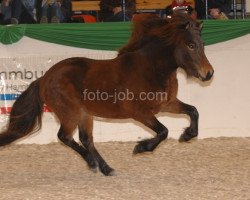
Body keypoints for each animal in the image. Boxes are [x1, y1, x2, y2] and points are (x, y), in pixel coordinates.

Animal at [0, 14, 214, 176]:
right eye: (191, 45)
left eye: (202, 43)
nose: (209, 73)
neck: (150, 68)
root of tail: (44, 78)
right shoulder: (139, 112)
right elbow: (163, 131)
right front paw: (141, 148)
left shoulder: (167, 104)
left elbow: (193, 111)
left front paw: (187, 135)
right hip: (70, 113)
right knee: (64, 137)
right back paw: (93, 163)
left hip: (85, 114)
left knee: (86, 139)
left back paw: (106, 168)